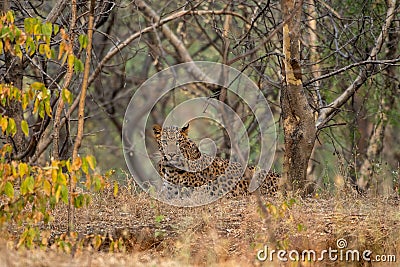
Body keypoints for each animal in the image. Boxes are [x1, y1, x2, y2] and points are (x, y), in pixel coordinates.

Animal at [152, 124, 280, 198]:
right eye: (164, 142)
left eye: (178, 142)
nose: (171, 154)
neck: (171, 169)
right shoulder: (168, 190)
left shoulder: (204, 188)